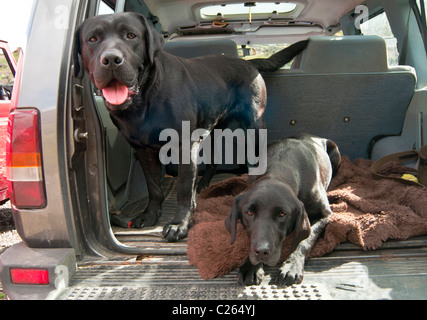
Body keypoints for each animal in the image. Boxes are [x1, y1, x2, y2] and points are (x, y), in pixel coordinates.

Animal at [72, 12, 308, 242]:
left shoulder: (184, 147)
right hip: (213, 131)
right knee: (212, 161)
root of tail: (248, 62)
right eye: (92, 39)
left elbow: (184, 190)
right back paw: (203, 185)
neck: (146, 98)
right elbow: (154, 188)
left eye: (131, 36)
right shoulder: (144, 151)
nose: (111, 60)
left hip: (254, 126)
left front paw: (180, 224)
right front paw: (150, 215)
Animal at [224, 134, 342, 286]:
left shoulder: (324, 214)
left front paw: (291, 266)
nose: (262, 251)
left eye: (282, 214)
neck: (279, 168)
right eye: (249, 212)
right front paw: (251, 267)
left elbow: (304, 240)